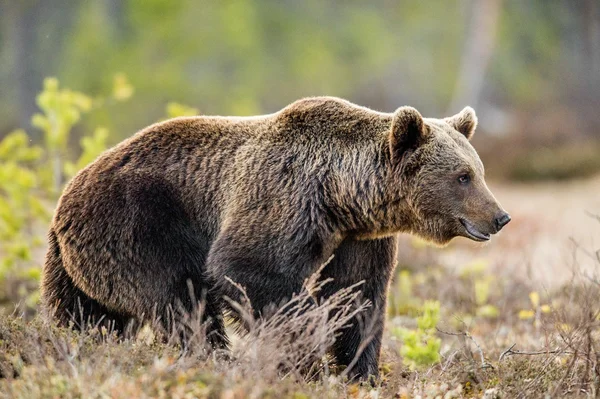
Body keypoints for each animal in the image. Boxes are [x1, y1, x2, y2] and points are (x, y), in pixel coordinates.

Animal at [41, 97, 510, 382]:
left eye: (478, 170)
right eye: (463, 176)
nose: (500, 216)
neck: (343, 196)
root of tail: (66, 194)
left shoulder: (359, 239)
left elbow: (359, 297)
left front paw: (359, 371)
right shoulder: (283, 200)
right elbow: (250, 271)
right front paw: (306, 359)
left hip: (80, 263)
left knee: (87, 314)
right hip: (138, 223)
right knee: (182, 300)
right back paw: (214, 360)